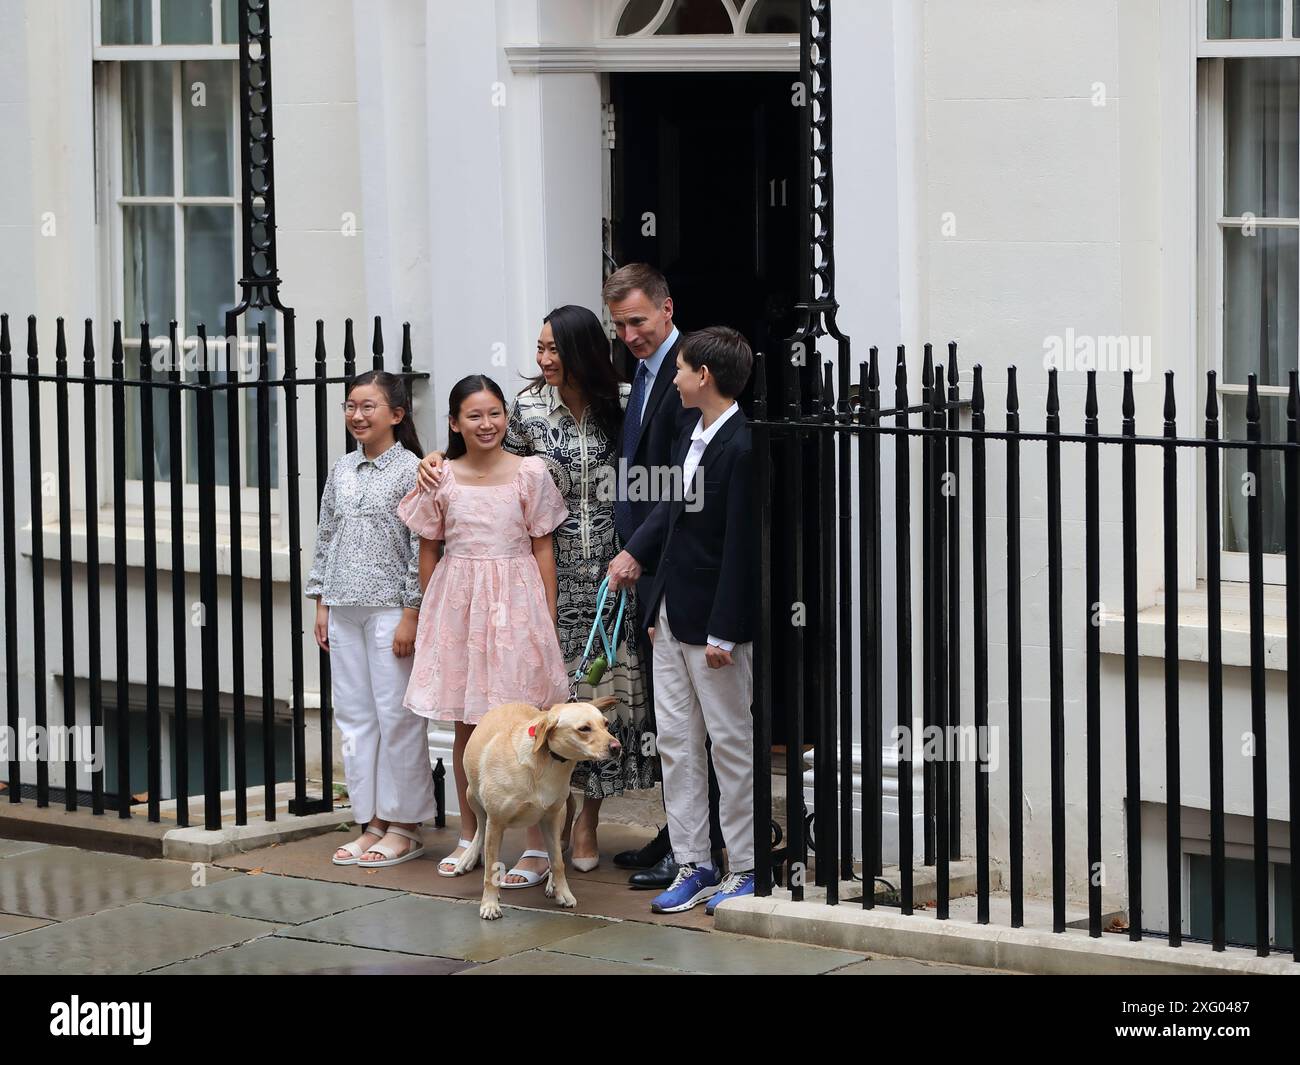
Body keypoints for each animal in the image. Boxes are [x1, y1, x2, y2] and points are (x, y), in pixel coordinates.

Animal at [457, 702, 618, 915]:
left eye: (606, 724)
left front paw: (563, 893)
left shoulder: (551, 819)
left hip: (557, 816)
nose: (617, 747)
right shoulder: (496, 822)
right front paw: (490, 904)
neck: (546, 763)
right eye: (584, 728)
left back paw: (551, 884)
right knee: (481, 826)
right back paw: (468, 857)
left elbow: (557, 862)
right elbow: (491, 867)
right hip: (471, 795)